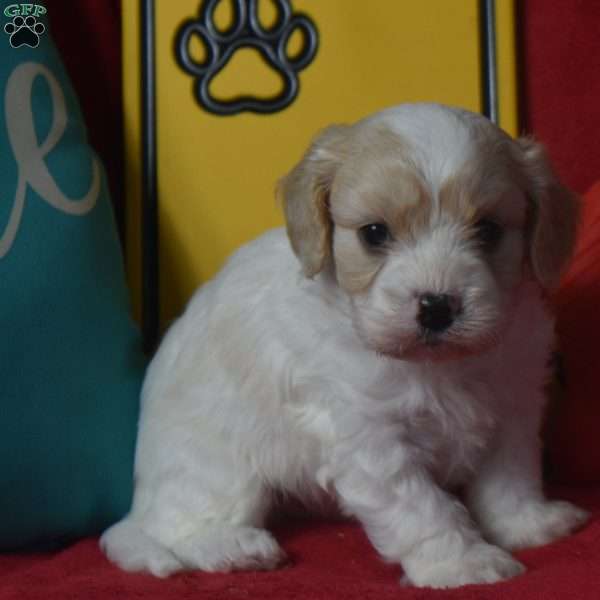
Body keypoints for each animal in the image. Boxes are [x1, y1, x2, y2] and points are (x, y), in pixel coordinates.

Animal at [102, 102, 584, 584]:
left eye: (488, 230)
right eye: (374, 233)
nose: (436, 306)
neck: (438, 365)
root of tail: (137, 505)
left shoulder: (513, 407)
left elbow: (509, 479)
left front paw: (527, 525)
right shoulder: (370, 438)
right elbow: (423, 508)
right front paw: (462, 562)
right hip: (220, 470)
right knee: (178, 528)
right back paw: (235, 547)